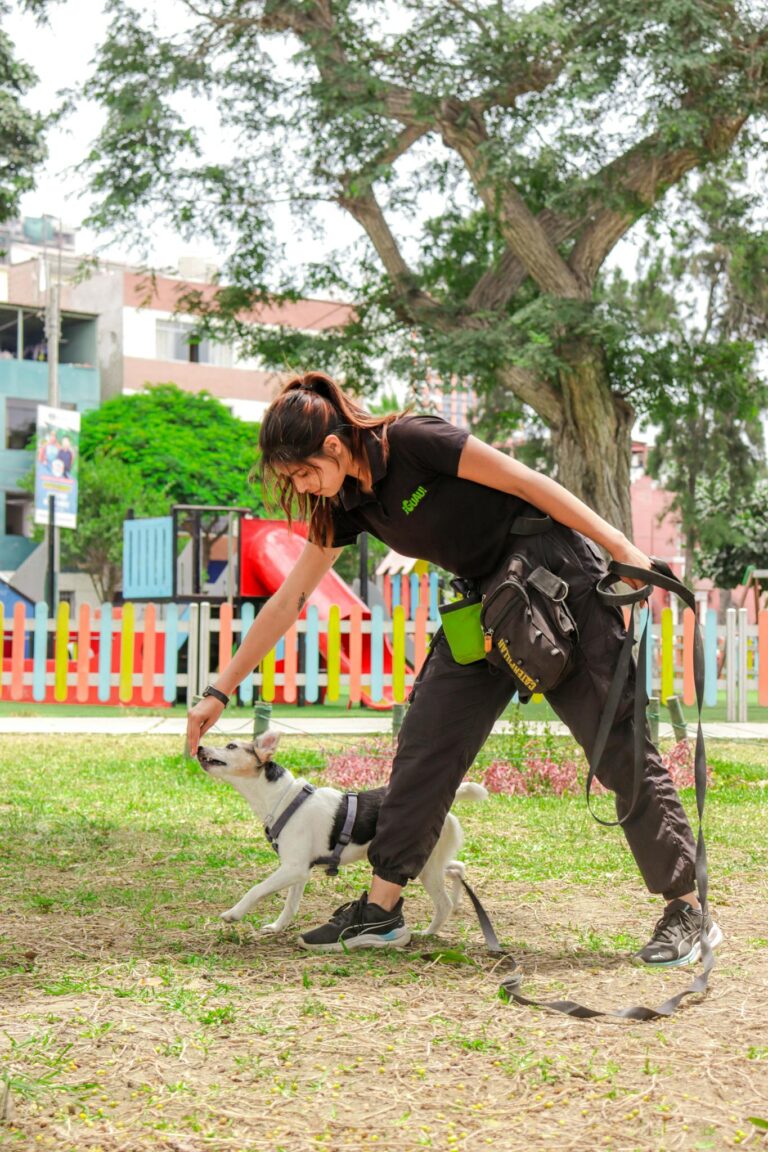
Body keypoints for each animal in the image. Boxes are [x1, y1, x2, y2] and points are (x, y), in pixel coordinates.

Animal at [198, 737, 485, 935]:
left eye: (231, 745)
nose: (199, 747)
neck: (283, 797)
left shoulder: (293, 868)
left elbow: (256, 889)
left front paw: (234, 913)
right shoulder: (299, 871)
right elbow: (290, 905)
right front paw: (278, 927)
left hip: (425, 868)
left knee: (443, 903)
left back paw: (429, 932)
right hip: (431, 862)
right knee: (458, 867)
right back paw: (459, 900)